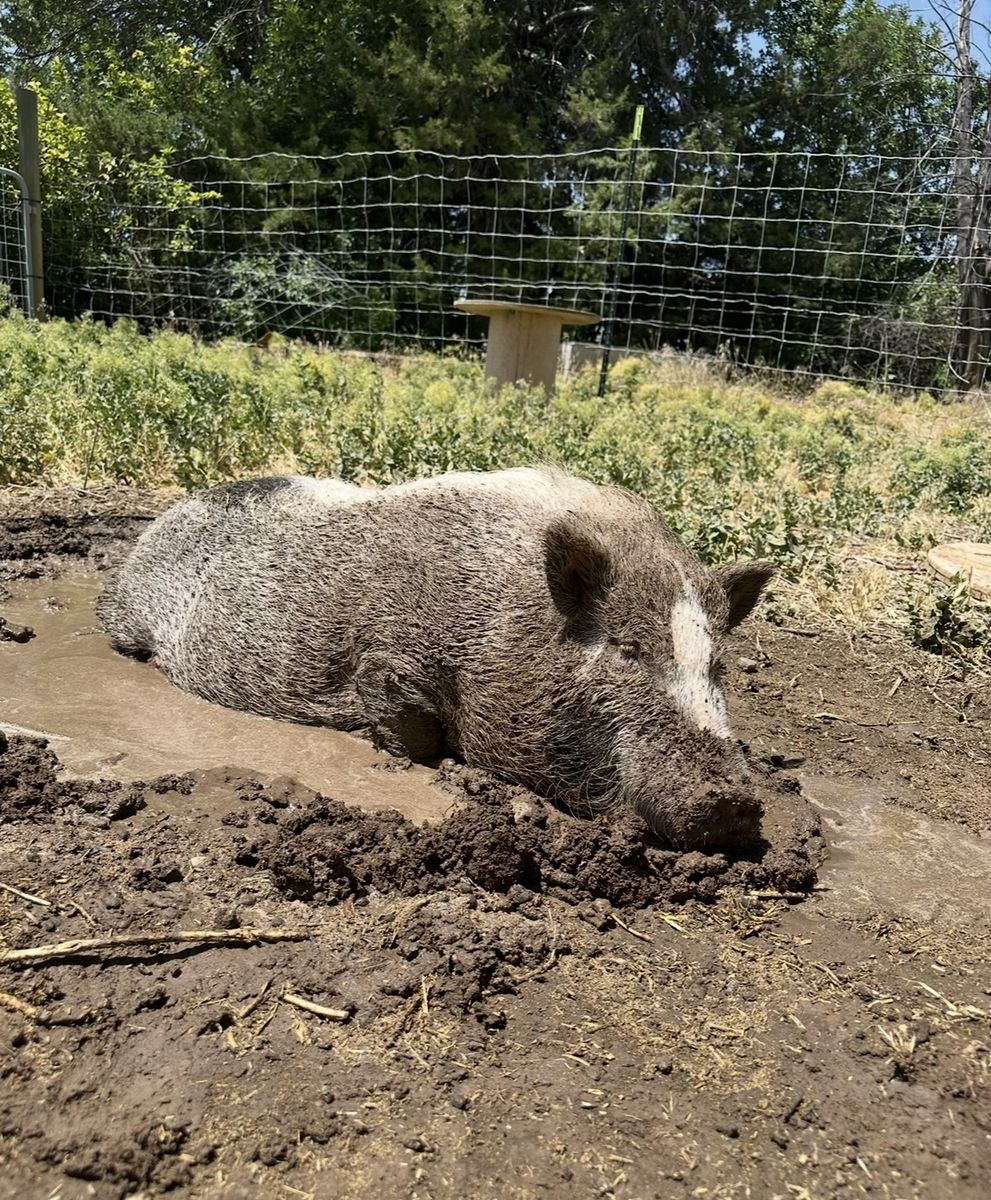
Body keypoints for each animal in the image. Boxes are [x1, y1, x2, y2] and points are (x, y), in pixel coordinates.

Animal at [97, 467, 774, 849]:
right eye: (627, 650)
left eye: (716, 665)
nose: (734, 802)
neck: (500, 617)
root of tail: (162, 517)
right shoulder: (382, 660)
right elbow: (412, 732)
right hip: (126, 614)